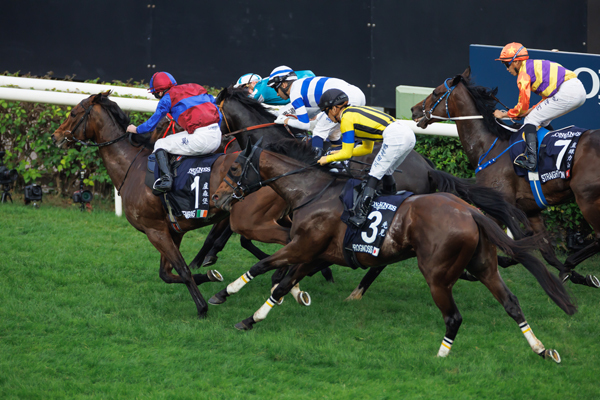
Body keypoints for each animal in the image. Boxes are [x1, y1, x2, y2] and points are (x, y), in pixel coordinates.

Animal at [211, 141, 576, 362]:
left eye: (234, 169)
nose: (216, 199)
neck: (311, 191)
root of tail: (470, 212)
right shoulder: (316, 252)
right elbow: (281, 285)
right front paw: (251, 319)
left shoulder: (302, 245)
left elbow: (263, 267)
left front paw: (223, 294)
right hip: (484, 265)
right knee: (511, 303)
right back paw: (541, 349)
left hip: (437, 275)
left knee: (453, 317)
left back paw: (439, 358)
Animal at [410, 68, 600, 288]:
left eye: (435, 92)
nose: (414, 110)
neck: (490, 144)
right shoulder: (531, 210)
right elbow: (545, 252)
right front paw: (575, 276)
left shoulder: (499, 205)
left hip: (587, 199)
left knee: (599, 237)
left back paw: (571, 264)